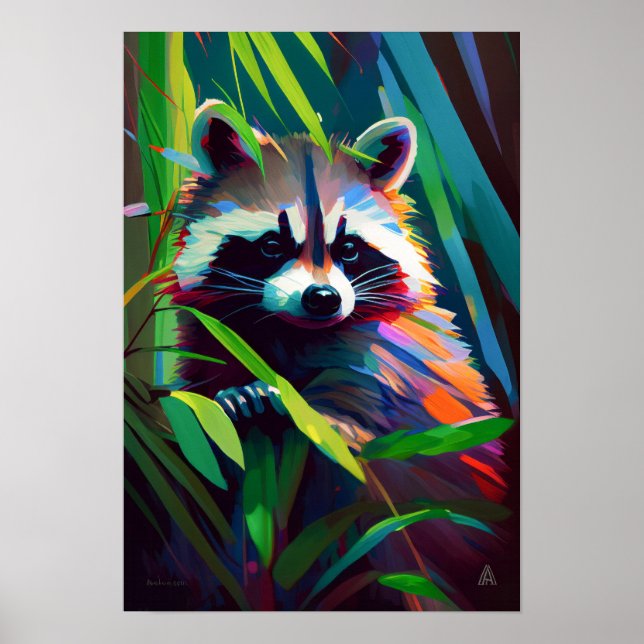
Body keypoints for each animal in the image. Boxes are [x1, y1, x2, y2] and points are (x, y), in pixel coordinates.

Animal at [168, 100, 507, 608]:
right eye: (271, 244)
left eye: (348, 248)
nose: (323, 298)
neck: (291, 331)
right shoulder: (212, 339)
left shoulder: (388, 354)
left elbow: (356, 415)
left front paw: (313, 413)